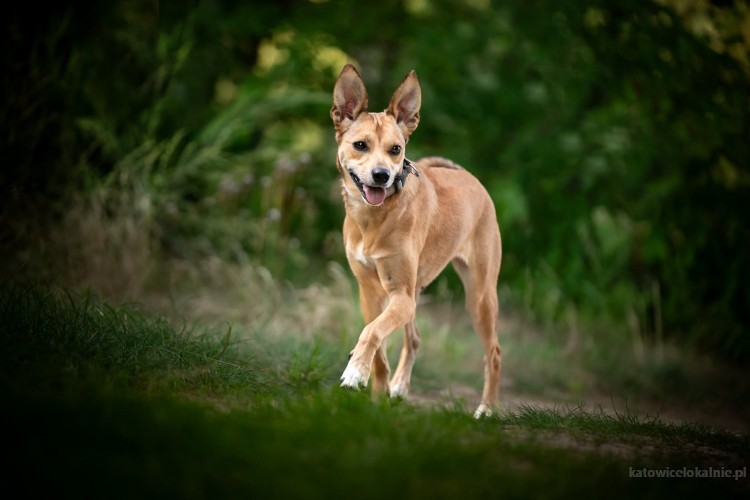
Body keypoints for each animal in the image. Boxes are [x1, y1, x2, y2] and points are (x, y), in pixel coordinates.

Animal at [330, 66, 502, 418]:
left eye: (396, 149)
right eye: (360, 145)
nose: (381, 175)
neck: (374, 220)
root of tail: (471, 178)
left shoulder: (401, 296)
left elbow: (372, 332)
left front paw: (355, 371)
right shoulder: (371, 293)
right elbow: (378, 341)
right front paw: (375, 389)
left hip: (479, 296)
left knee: (493, 352)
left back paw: (487, 409)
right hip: (416, 292)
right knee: (415, 337)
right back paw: (398, 386)